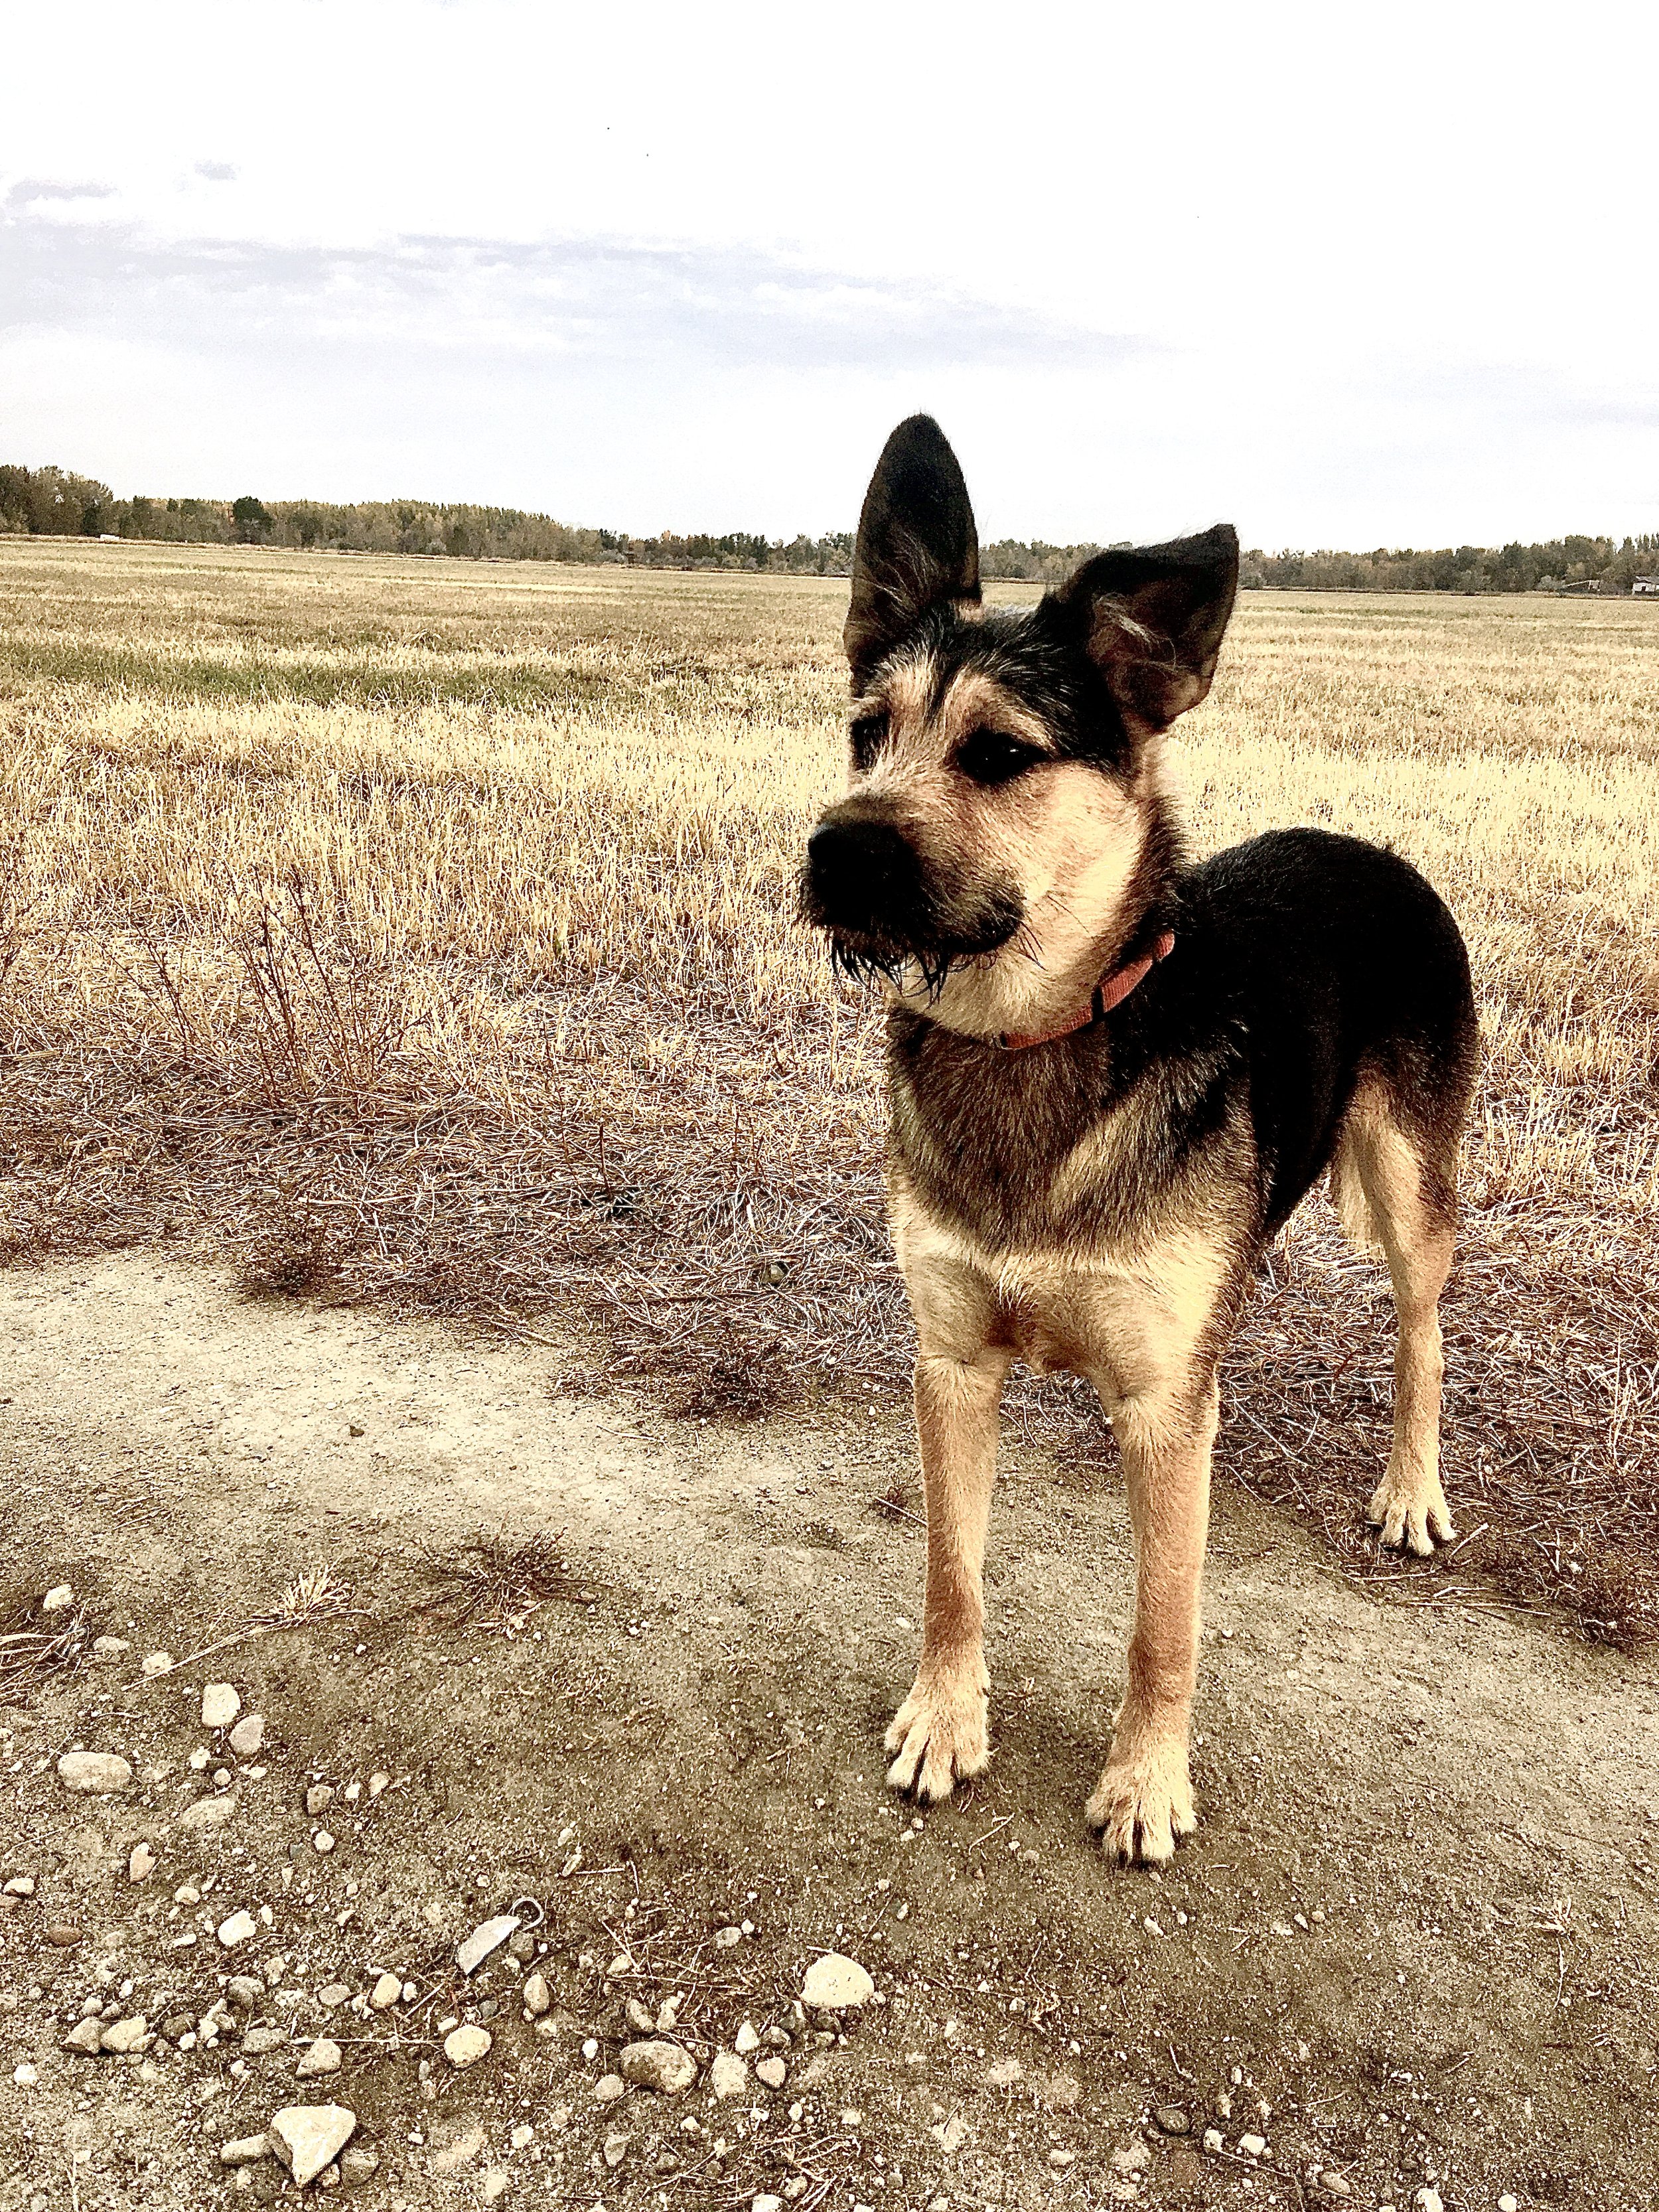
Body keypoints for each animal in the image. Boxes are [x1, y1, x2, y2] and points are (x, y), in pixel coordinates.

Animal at [801, 415, 1478, 1863]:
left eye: (998, 756)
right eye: (866, 734)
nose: (832, 852)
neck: (1027, 1038)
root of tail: (1373, 849)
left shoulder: (1166, 1406)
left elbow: (1163, 1622)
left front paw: (1146, 1779)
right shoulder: (951, 1361)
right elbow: (950, 1573)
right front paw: (946, 1716)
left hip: (1411, 1189)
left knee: (1421, 1331)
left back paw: (1409, 1486)